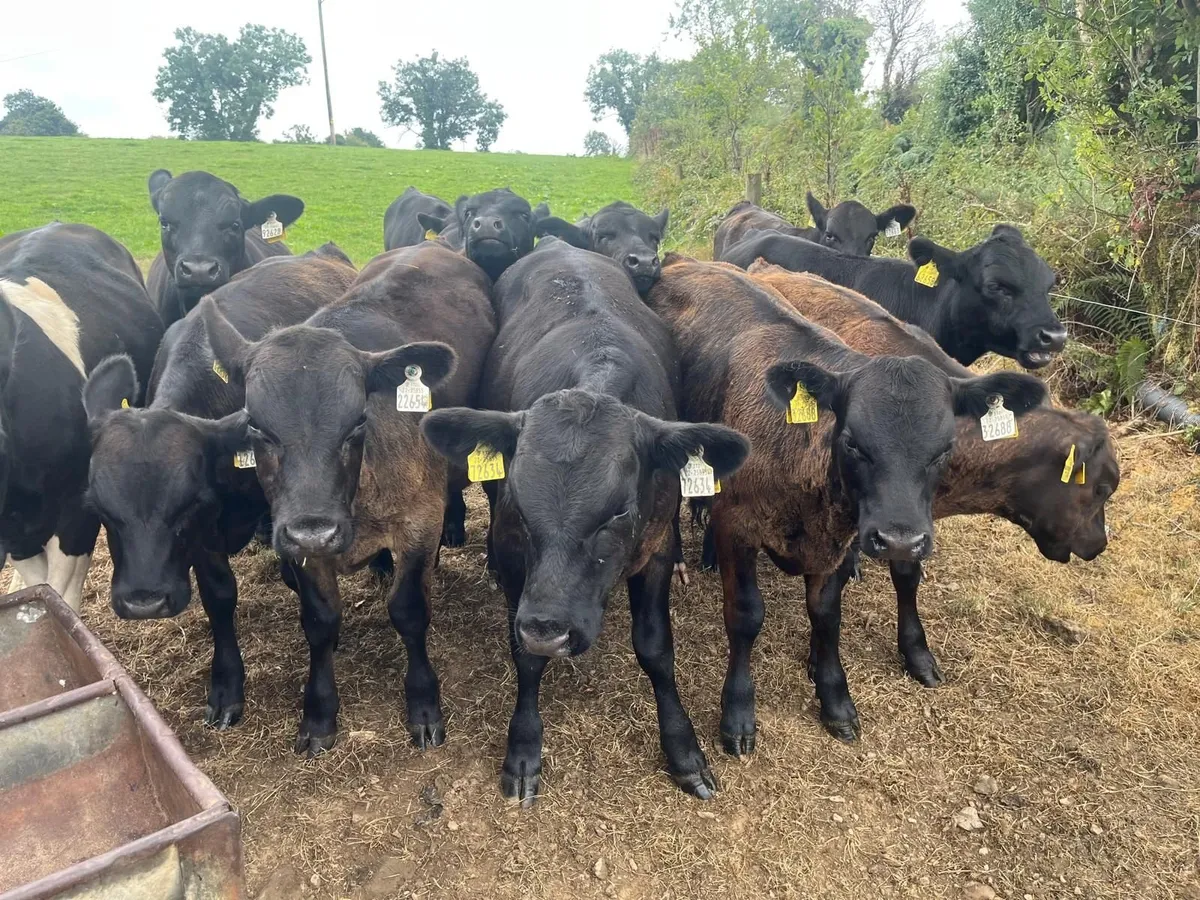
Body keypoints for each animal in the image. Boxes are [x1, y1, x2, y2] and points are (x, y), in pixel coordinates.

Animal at [82, 245, 357, 729]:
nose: (144, 602)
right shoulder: (205, 539)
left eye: (187, 504)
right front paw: (227, 687)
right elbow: (219, 597)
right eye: (99, 509)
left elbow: (319, 611)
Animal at [201, 241, 496, 756]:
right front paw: (319, 713)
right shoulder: (302, 548)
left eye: (358, 421)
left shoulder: (420, 521)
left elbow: (410, 610)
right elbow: (320, 621)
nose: (314, 531)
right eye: (256, 425)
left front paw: (423, 704)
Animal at [421, 238, 749, 805]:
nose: (549, 629)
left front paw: (684, 751)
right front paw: (523, 749)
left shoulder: (653, 549)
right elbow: (525, 657)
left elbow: (657, 650)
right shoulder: (517, 560)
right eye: (519, 501)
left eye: (617, 510)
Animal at [646, 255, 1045, 750]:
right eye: (854, 443)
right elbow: (744, 616)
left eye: (945, 450)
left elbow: (826, 614)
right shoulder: (738, 527)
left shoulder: (839, 538)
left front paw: (835, 699)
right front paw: (737, 714)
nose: (900, 541)